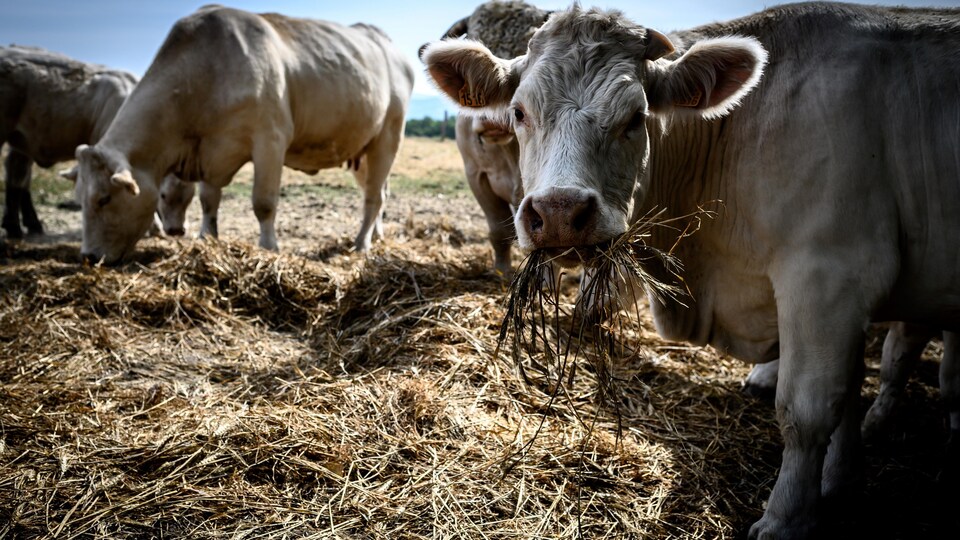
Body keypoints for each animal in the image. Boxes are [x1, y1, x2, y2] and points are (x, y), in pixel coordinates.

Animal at [71, 6, 414, 264]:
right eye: (79, 198)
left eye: (103, 198)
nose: (88, 256)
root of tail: (383, 40)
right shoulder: (211, 150)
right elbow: (209, 200)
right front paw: (207, 238)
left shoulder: (270, 140)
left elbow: (263, 202)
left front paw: (268, 248)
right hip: (362, 149)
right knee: (379, 192)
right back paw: (377, 235)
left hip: (388, 137)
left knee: (373, 196)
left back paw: (362, 244)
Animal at [422, 3, 960, 538]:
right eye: (519, 112)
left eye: (636, 117)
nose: (558, 212)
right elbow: (846, 394)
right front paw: (840, 481)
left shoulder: (829, 276)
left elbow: (807, 412)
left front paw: (785, 519)